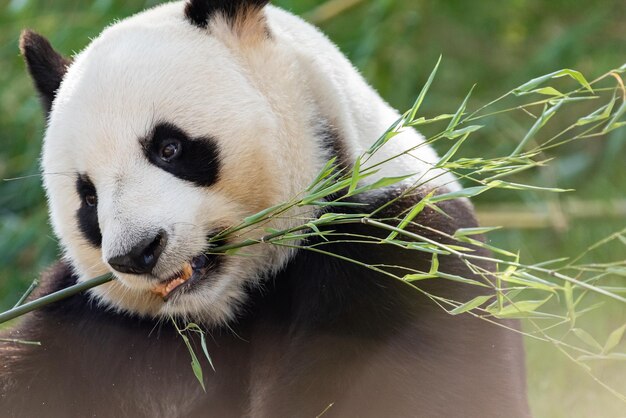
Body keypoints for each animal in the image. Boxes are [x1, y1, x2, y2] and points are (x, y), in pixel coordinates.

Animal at [0, 1, 528, 416]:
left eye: (169, 148)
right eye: (88, 198)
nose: (137, 253)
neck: (229, 305)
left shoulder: (401, 257)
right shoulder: (89, 328)